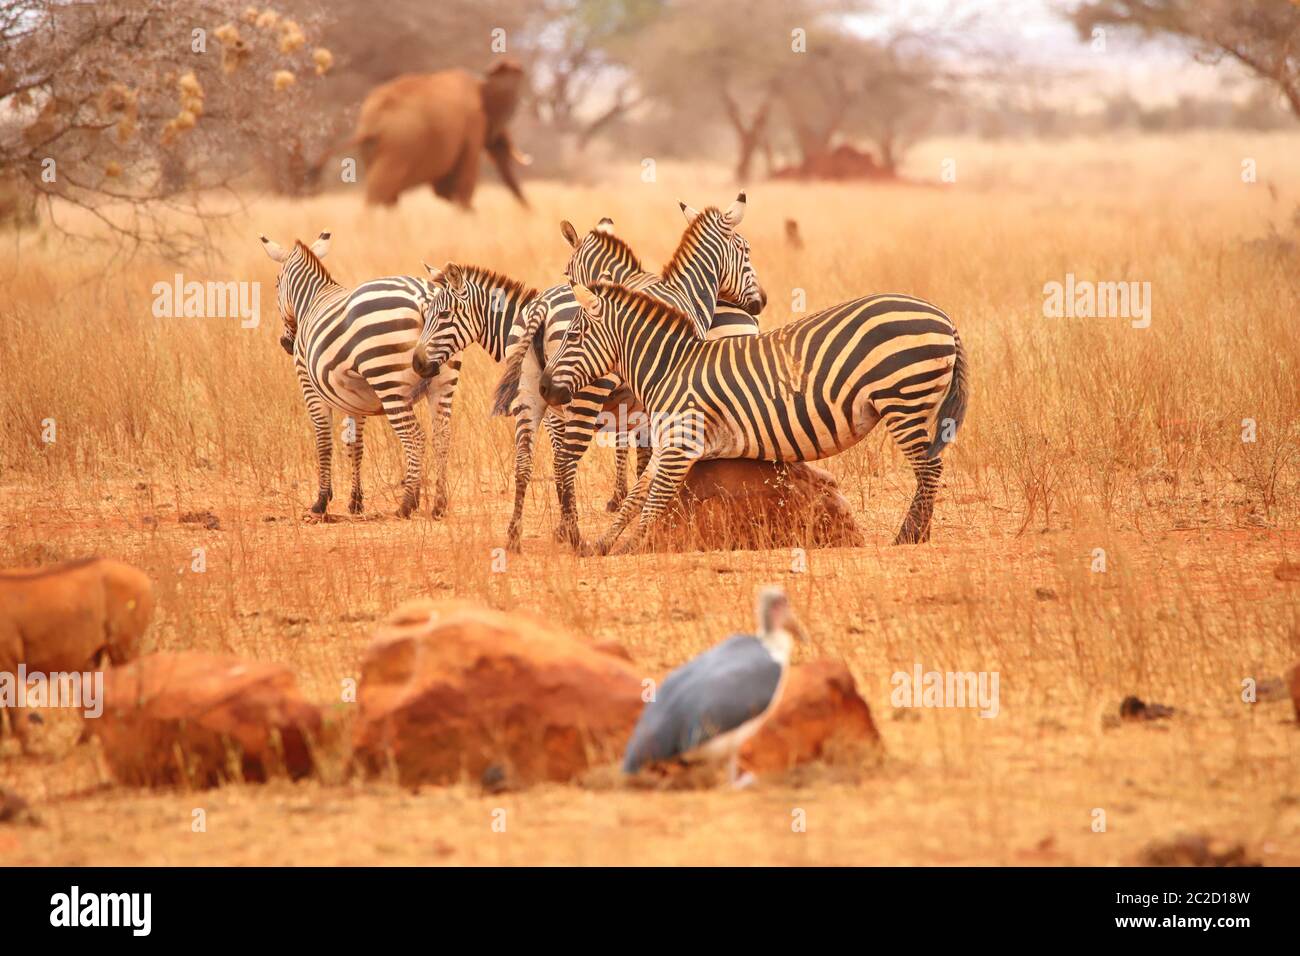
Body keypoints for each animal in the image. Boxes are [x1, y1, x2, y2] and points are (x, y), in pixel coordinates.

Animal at [256, 231, 460, 515]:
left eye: (276, 285)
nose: (286, 343)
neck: (313, 299)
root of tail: (423, 297)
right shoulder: (354, 397)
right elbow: (355, 445)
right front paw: (355, 500)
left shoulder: (309, 385)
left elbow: (323, 440)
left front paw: (320, 502)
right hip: (443, 383)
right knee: (442, 437)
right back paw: (438, 504)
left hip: (388, 380)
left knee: (415, 437)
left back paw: (406, 504)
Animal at [348, 60, 530, 210]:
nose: (530, 213)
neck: (481, 84)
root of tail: (374, 118)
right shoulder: (473, 126)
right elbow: (464, 180)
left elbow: (444, 190)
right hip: (400, 144)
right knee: (379, 190)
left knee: (389, 197)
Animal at [533, 280, 972, 556]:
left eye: (572, 337)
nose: (543, 389)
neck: (670, 368)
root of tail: (942, 315)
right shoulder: (669, 443)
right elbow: (634, 499)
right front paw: (602, 545)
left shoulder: (681, 445)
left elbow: (654, 501)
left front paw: (630, 547)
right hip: (913, 401)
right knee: (930, 468)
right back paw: (918, 533)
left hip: (903, 398)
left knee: (929, 469)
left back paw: (910, 536)